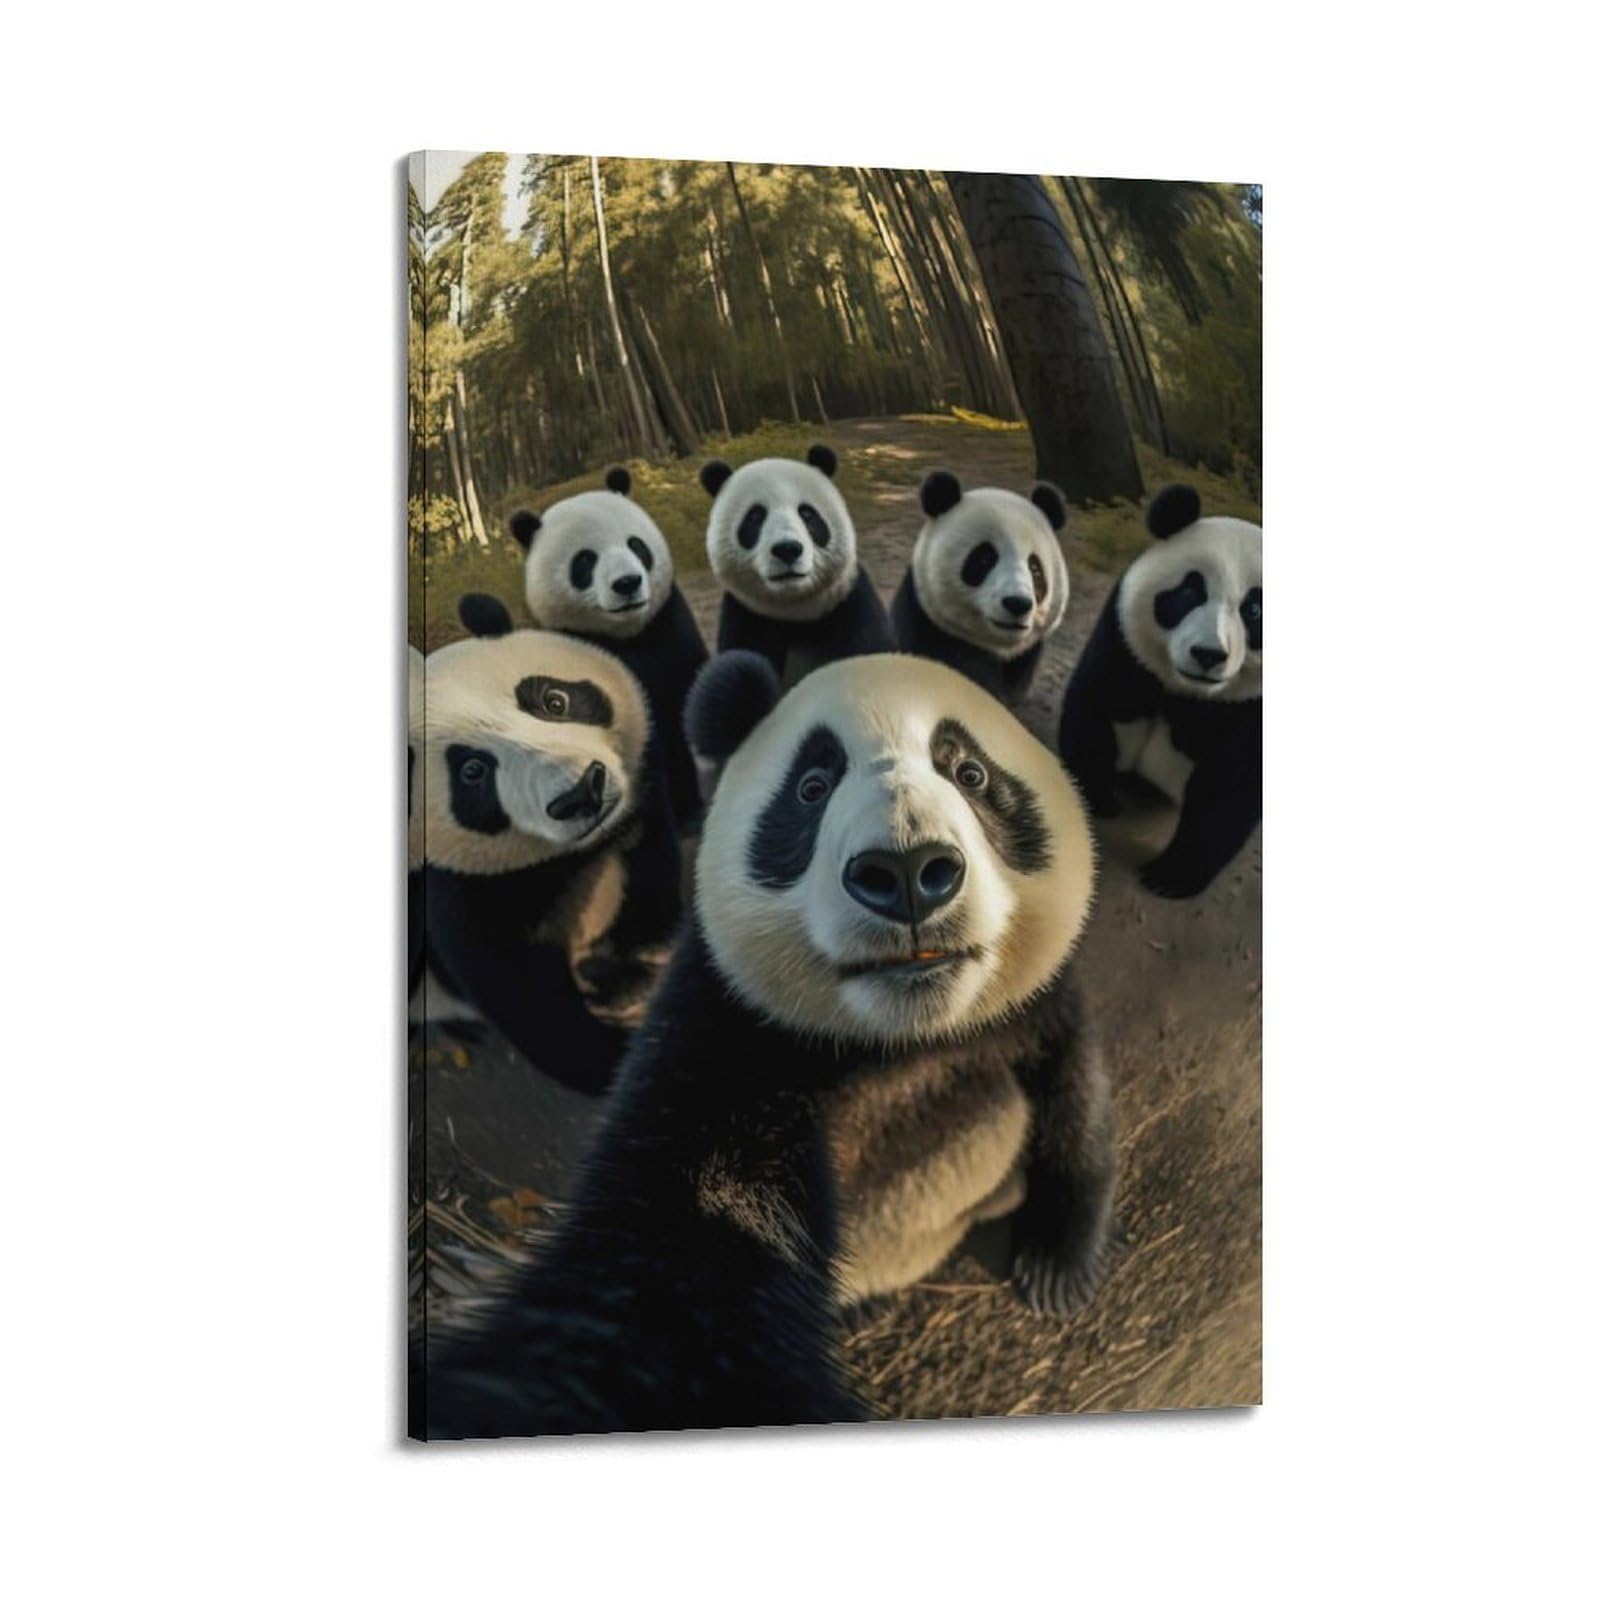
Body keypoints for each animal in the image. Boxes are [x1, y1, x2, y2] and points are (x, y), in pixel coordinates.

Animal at [413, 592, 665, 1095]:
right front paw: (612, 1061)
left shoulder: (634, 813)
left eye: (555, 701)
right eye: (473, 772)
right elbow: (521, 997)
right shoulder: (459, 891)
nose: (581, 793)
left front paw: (630, 967)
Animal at [415, 651, 1113, 1439]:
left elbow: (1072, 1087)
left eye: (970, 773)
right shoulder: (726, 1036)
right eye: (812, 788)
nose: (907, 874)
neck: (900, 1035)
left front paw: (1057, 1268)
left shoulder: (1031, 1003)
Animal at [509, 465, 708, 839]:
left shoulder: (669, 629)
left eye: (636, 545)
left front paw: (692, 814)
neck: (627, 636)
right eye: (585, 561)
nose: (627, 583)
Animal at [700, 442, 893, 687]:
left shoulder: (853, 607)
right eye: (755, 517)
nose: (787, 549)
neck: (796, 611)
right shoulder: (745, 619)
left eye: (807, 513)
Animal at [1056, 483, 1262, 899]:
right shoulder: (1124, 639)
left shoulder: (1254, 705)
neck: (1187, 691)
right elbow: (1099, 706)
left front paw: (1169, 878)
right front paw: (1096, 799)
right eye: (1190, 592)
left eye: (1254, 611)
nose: (1208, 654)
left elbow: (1230, 788)